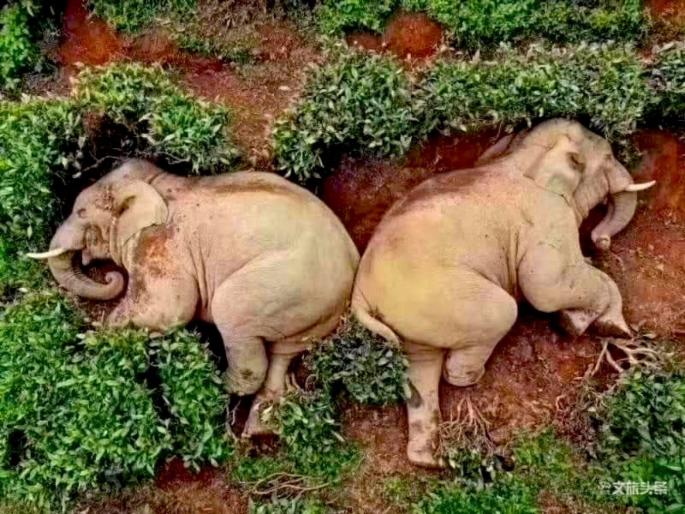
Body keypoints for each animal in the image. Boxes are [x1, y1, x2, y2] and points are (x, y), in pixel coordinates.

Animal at [28, 159, 359, 437]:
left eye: (81, 212)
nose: (110, 277)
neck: (156, 182)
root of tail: (352, 267)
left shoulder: (160, 245)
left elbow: (170, 309)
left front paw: (93, 338)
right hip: (313, 311)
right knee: (283, 352)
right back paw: (260, 427)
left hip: (285, 285)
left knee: (233, 316)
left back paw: (215, 385)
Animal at [351, 119, 655, 467]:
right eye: (606, 158)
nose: (599, 241)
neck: (521, 156)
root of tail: (359, 295)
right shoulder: (548, 218)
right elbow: (545, 287)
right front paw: (598, 326)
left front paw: (584, 322)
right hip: (440, 297)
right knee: (501, 313)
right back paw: (472, 379)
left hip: (410, 318)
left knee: (421, 366)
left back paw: (429, 459)